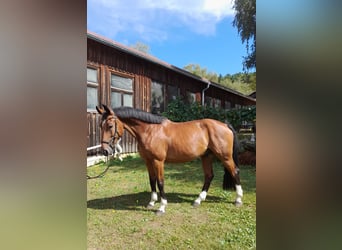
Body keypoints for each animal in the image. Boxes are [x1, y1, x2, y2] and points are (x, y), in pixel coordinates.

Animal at [95, 104, 242, 214]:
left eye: (110, 126)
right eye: (100, 126)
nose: (105, 151)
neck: (150, 130)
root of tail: (225, 125)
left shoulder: (158, 161)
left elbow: (160, 182)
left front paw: (162, 207)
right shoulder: (148, 161)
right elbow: (152, 180)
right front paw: (151, 202)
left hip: (225, 157)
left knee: (235, 172)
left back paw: (238, 200)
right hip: (206, 156)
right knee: (209, 176)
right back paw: (198, 200)